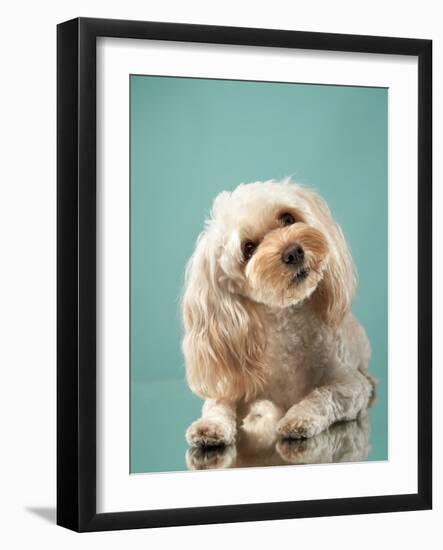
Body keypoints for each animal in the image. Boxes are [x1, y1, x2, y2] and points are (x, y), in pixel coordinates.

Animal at [182, 180, 376, 448]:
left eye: (287, 218)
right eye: (248, 248)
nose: (293, 251)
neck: (287, 327)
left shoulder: (350, 385)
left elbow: (323, 395)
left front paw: (298, 418)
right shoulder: (237, 385)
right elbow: (217, 404)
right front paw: (210, 426)